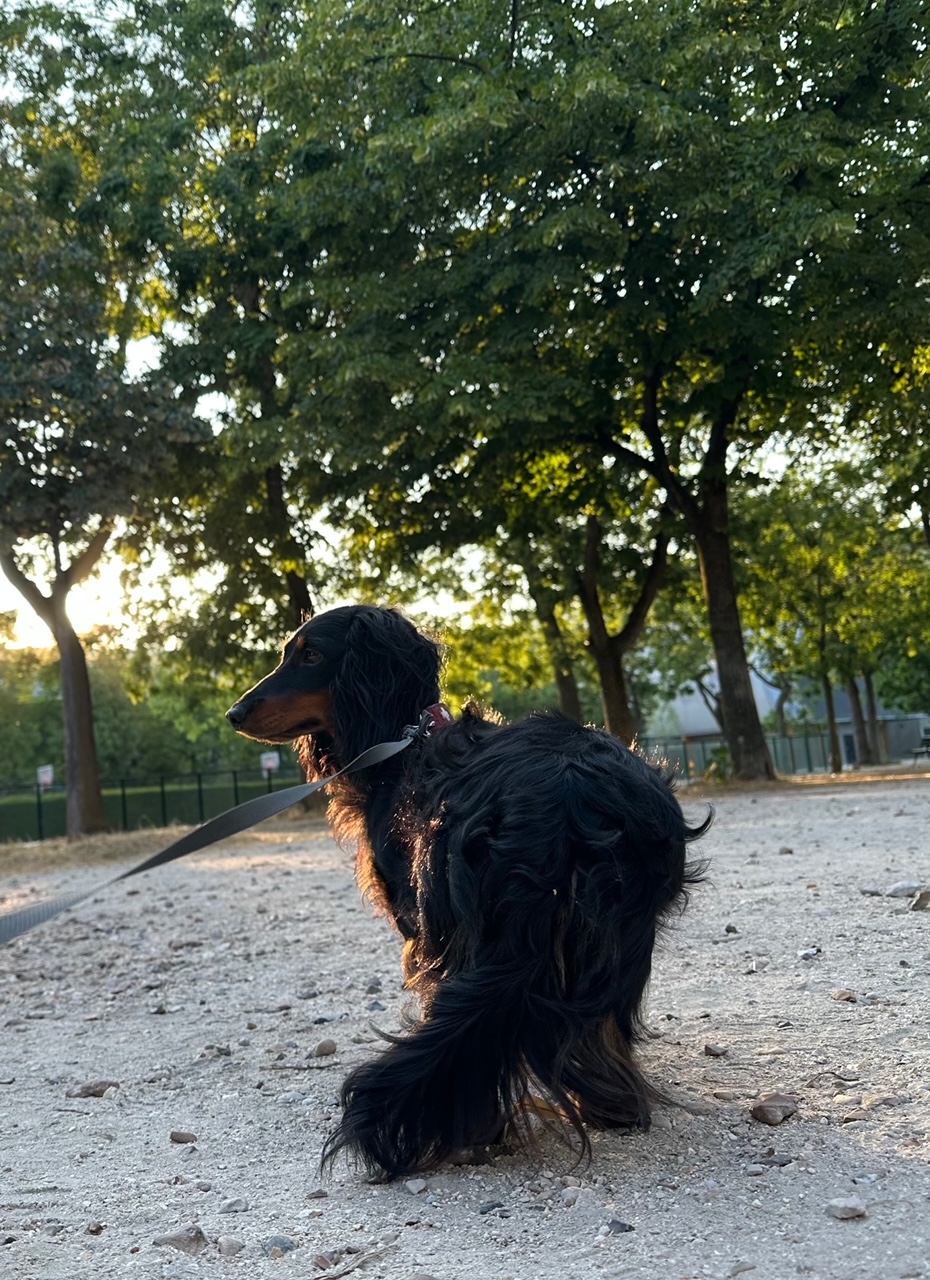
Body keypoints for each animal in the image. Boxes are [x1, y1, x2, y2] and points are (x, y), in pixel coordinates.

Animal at [228, 604, 711, 1172]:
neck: (405, 745)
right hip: (622, 928)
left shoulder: (417, 920)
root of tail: (563, 793)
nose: (234, 713)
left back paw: (475, 1130)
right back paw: (611, 1105)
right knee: (602, 1025)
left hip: (459, 920)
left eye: (311, 654)